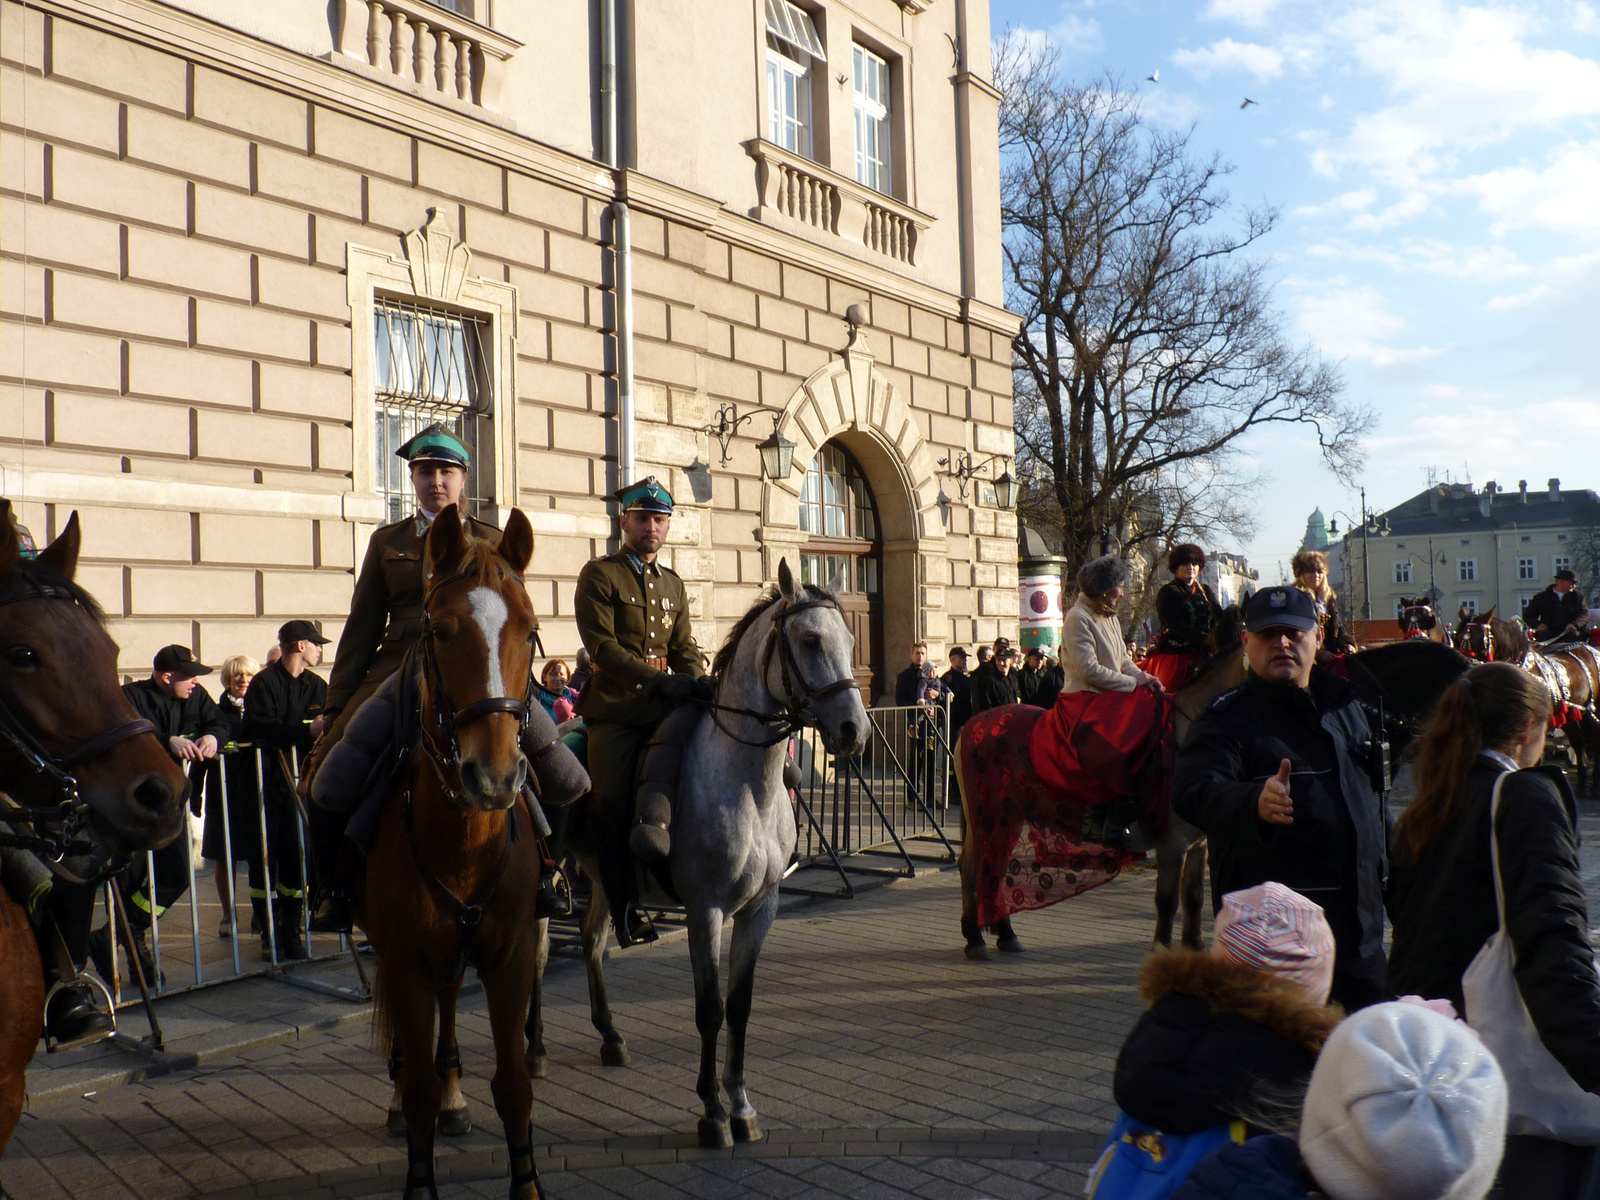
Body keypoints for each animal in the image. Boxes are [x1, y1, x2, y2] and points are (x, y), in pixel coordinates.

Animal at [361, 508, 547, 1200]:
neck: (463, 840)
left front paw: (527, 1184)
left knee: (449, 1002)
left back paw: (453, 1093)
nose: (492, 776)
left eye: (531, 630)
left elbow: (515, 1085)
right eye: (440, 631)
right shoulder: (405, 958)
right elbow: (413, 1088)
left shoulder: (510, 953)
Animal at [553, 560, 876, 1152]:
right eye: (810, 639)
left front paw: (742, 1103)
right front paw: (711, 1110)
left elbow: (740, 1007)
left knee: (588, 940)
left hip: (604, 876)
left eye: (848, 640)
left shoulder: (760, 908)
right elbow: (709, 1009)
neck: (746, 784)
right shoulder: (706, 911)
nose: (855, 732)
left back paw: (608, 1036)